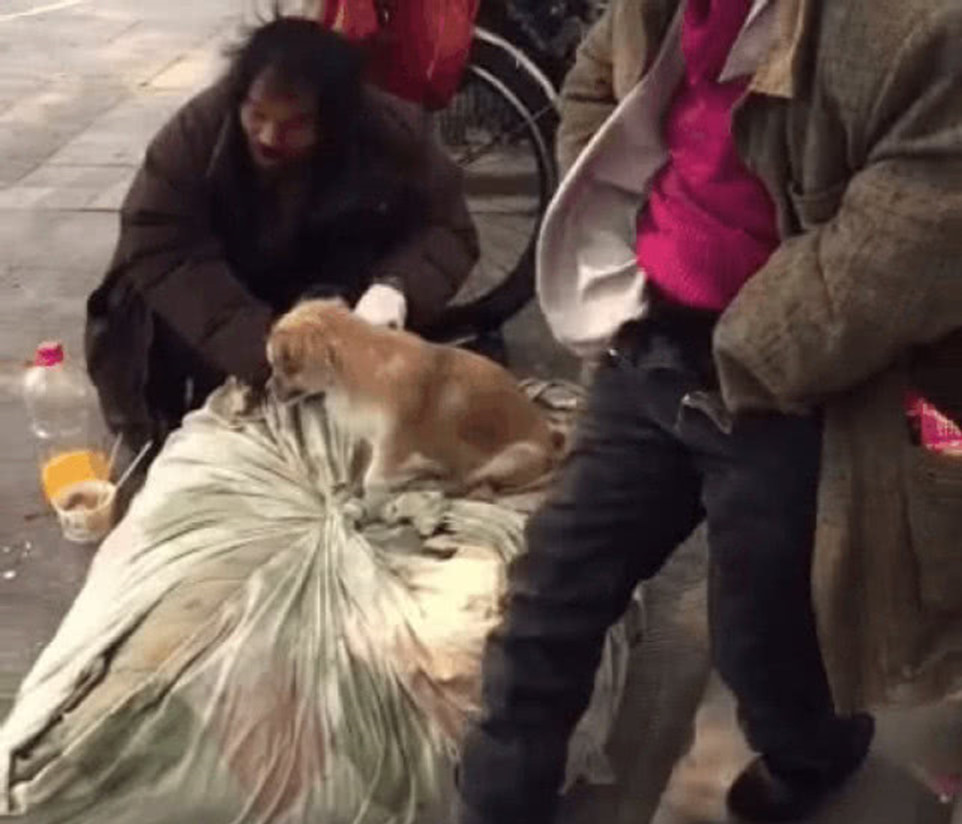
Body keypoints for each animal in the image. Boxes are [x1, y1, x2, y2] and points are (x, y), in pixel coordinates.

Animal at [266, 302, 560, 496]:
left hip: (512, 457)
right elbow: (363, 467)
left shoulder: (392, 443)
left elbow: (374, 479)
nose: (268, 388)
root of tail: (551, 451)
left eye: (283, 366)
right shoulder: (373, 437)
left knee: (467, 480)